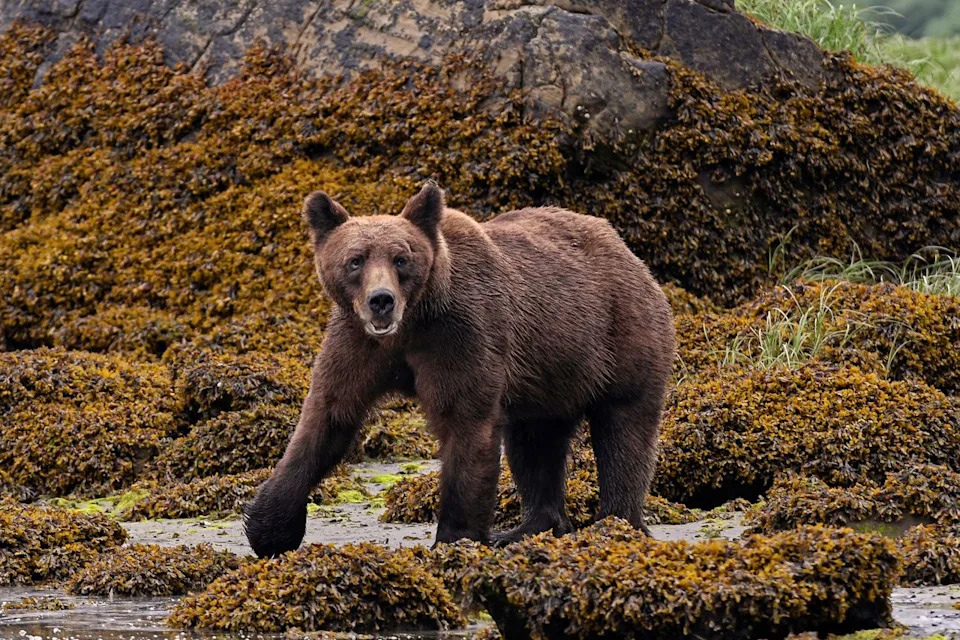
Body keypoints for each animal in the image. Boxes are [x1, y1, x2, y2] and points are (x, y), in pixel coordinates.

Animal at [244, 181, 676, 557]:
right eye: (355, 260)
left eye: (402, 259)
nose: (381, 300)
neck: (411, 325)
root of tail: (629, 254)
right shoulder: (357, 343)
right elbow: (327, 417)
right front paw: (269, 527)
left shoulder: (461, 336)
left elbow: (465, 424)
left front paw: (455, 539)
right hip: (548, 373)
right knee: (535, 441)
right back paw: (527, 527)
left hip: (619, 337)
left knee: (623, 431)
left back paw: (615, 523)